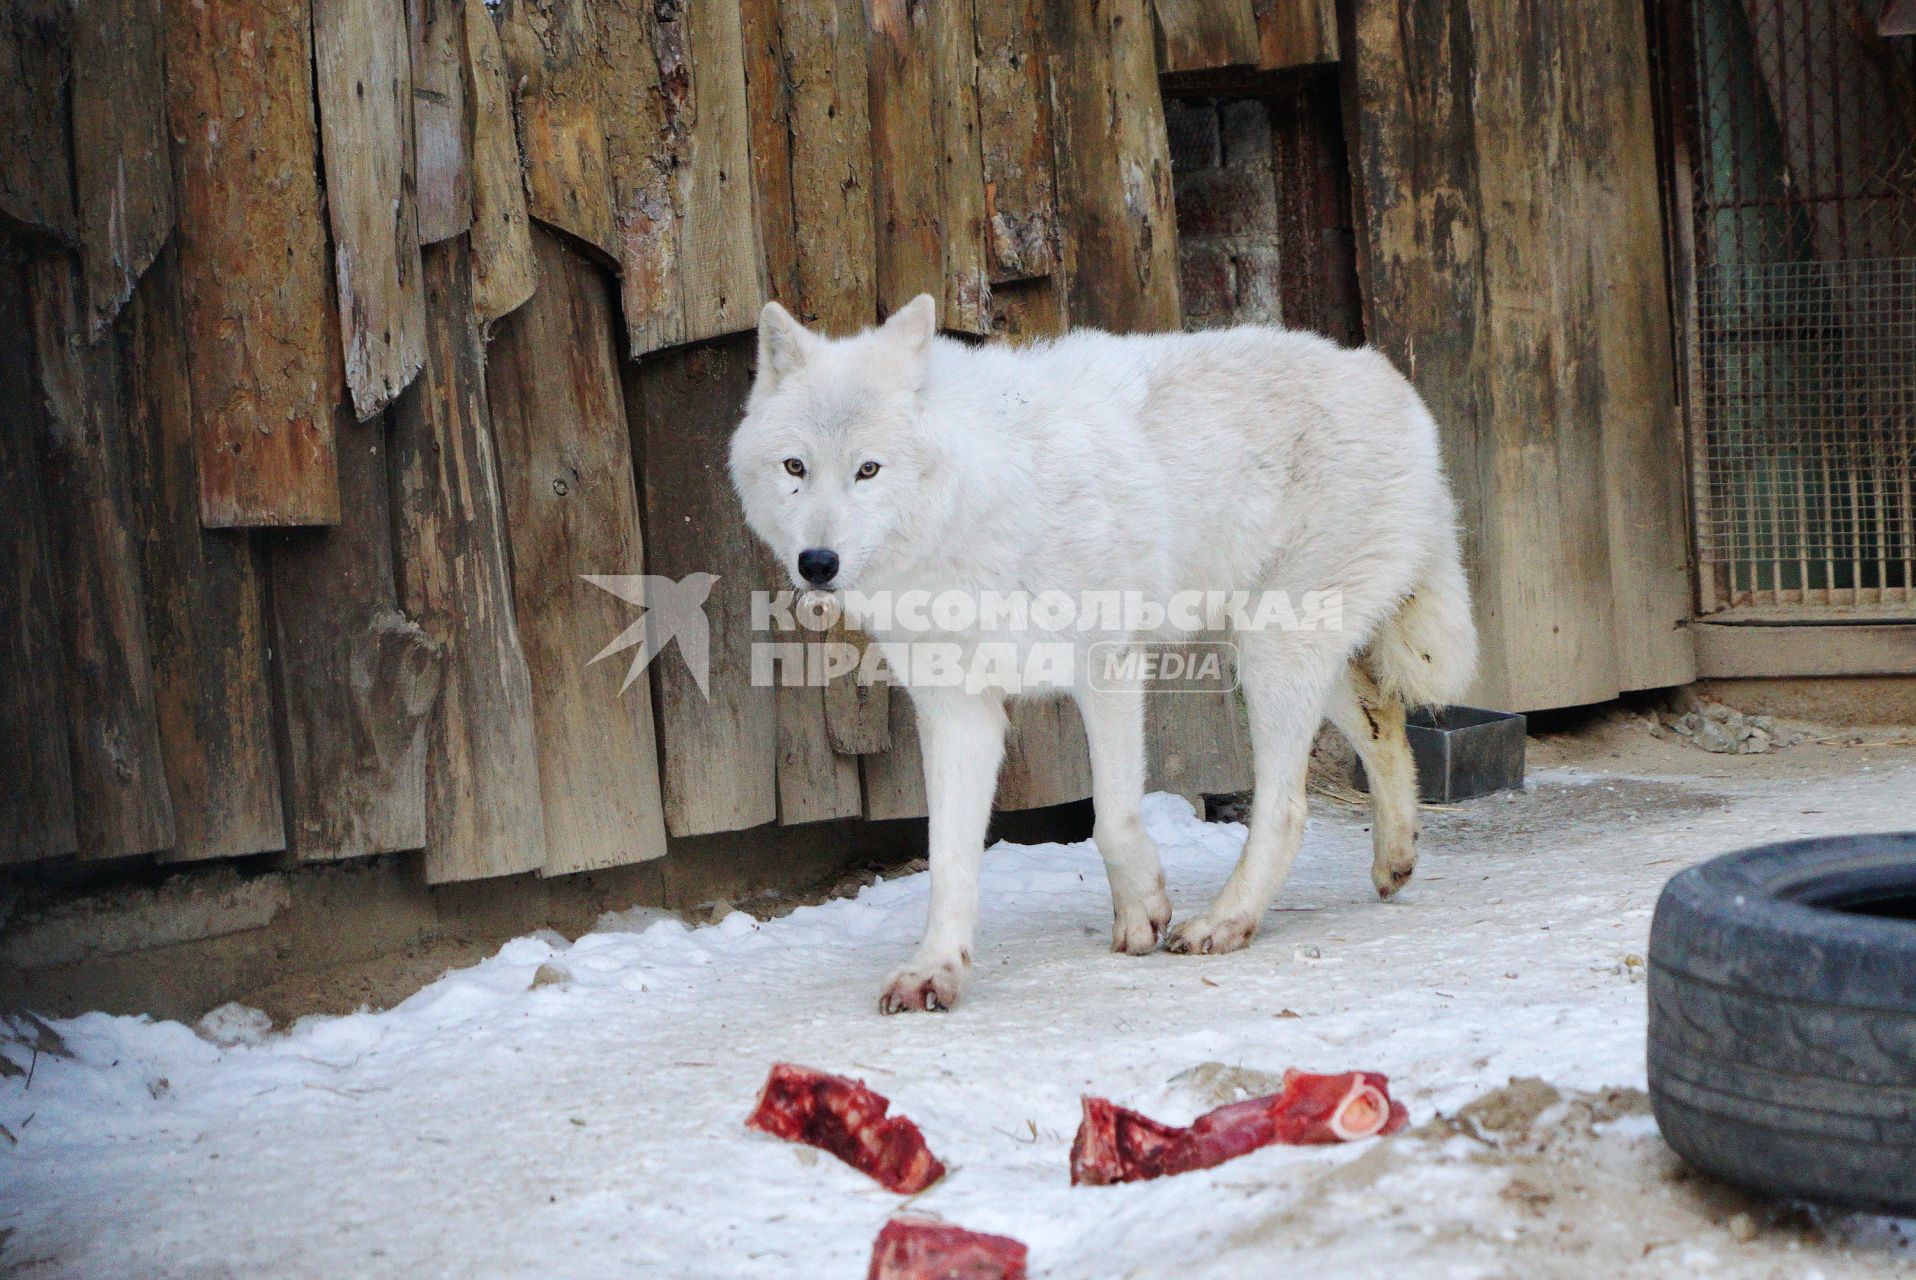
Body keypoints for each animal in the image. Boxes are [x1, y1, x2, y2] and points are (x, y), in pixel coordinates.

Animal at [724, 295, 1471, 1011]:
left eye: (868, 470)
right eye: (795, 467)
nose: (817, 563)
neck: (982, 511)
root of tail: (1385, 376)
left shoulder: (1108, 665)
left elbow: (1111, 818)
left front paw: (1143, 913)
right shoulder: (958, 709)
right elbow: (949, 863)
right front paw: (936, 970)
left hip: (1272, 653)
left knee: (1287, 809)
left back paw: (1225, 922)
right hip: (1270, 649)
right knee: (1382, 717)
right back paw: (1394, 860)